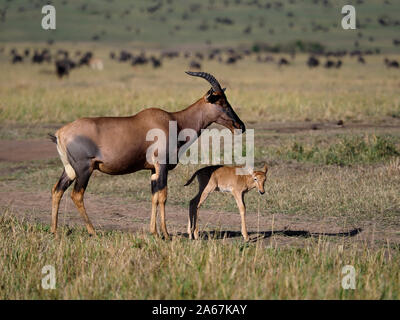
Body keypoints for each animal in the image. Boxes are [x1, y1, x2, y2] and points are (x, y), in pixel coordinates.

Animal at [49, 72, 244, 238]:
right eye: (220, 102)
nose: (240, 126)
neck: (174, 121)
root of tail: (61, 133)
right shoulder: (162, 165)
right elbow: (163, 195)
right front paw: (165, 233)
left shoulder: (153, 169)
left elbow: (154, 196)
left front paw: (154, 232)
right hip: (84, 169)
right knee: (77, 195)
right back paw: (93, 231)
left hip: (70, 170)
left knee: (57, 190)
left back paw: (55, 231)